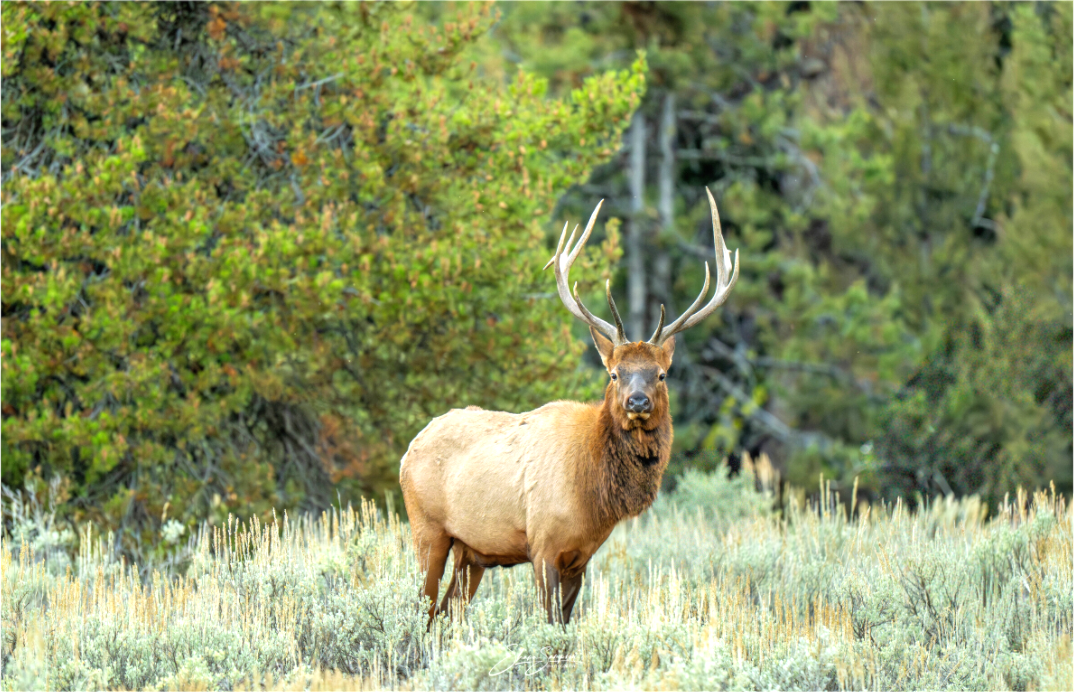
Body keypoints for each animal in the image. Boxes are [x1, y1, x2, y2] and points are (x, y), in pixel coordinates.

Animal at [399, 188, 740, 625]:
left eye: (662, 374)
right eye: (614, 373)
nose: (638, 400)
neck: (593, 491)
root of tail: (409, 450)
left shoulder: (582, 557)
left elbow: (565, 625)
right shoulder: (543, 544)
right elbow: (548, 623)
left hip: (471, 552)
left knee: (444, 615)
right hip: (427, 528)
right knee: (420, 607)